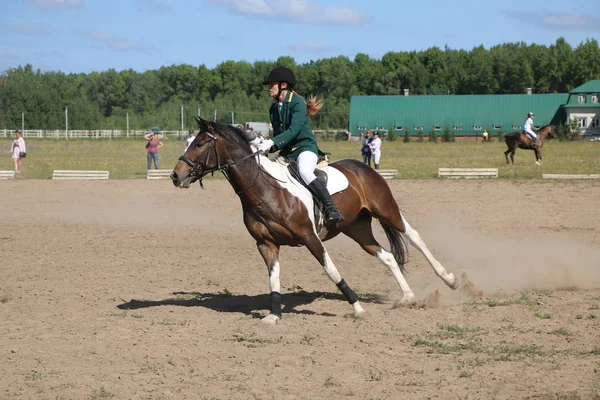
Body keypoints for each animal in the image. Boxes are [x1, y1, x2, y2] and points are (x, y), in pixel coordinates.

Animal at [170, 117, 460, 324]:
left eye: (199, 144)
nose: (175, 175)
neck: (265, 190)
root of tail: (363, 167)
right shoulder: (266, 244)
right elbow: (273, 278)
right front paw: (273, 315)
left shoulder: (310, 238)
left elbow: (331, 271)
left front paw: (357, 308)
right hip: (356, 228)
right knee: (387, 256)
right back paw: (407, 297)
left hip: (386, 210)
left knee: (414, 236)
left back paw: (449, 279)